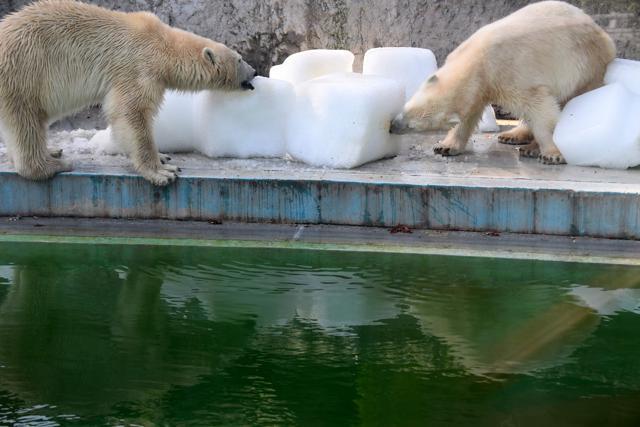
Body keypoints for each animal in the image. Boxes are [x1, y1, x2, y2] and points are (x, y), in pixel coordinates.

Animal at [0, 0, 256, 186]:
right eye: (239, 59)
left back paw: (52, 151)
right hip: (24, 69)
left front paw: (163, 157)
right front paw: (163, 172)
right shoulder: (138, 67)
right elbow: (131, 113)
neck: (163, 45)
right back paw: (52, 165)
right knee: (26, 120)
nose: (254, 72)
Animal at [390, 1, 616, 165]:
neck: (479, 59)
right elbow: (469, 114)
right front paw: (445, 146)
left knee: (568, 98)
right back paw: (512, 136)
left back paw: (530, 148)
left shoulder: (511, 73)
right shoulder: (481, 86)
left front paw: (553, 153)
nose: (393, 126)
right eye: (406, 109)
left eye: (413, 125)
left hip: (585, 66)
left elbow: (541, 109)